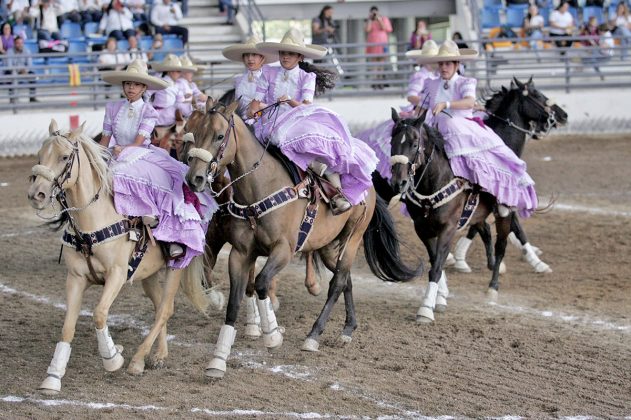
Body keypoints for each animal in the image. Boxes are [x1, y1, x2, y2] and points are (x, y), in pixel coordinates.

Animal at [183, 98, 420, 378]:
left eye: (220, 136)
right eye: (195, 133)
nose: (194, 178)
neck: (260, 190)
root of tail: (369, 187)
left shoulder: (283, 250)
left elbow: (261, 283)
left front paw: (272, 335)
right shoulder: (240, 254)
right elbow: (234, 302)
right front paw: (218, 360)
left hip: (352, 239)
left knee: (337, 283)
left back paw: (313, 336)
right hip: (329, 246)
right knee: (347, 281)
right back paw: (347, 330)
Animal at [390, 115, 512, 324]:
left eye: (414, 144)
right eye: (392, 142)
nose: (399, 182)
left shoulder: (448, 228)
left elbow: (437, 266)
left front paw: (425, 310)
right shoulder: (422, 229)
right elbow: (435, 260)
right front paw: (440, 297)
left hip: (504, 214)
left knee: (501, 246)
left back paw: (493, 287)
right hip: (477, 215)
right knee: (486, 230)